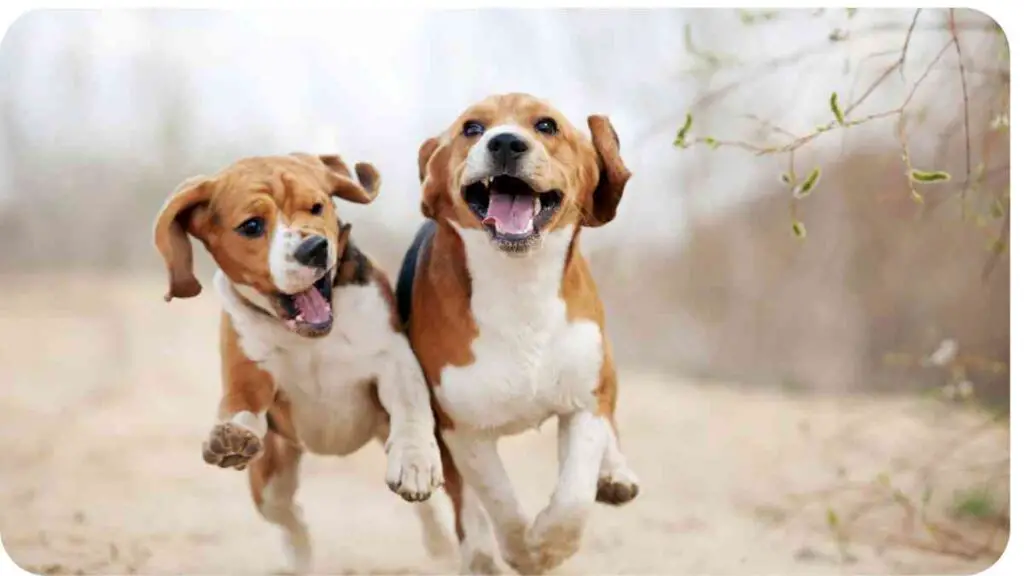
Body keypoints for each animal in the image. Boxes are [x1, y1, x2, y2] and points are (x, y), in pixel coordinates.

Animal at [153, 152, 450, 573]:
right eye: (252, 226)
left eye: (317, 207)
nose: (314, 248)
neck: (312, 337)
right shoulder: (248, 380)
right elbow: (239, 408)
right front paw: (231, 438)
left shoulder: (394, 360)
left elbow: (410, 411)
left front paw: (415, 462)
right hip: (270, 480)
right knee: (290, 520)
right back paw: (300, 557)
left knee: (431, 512)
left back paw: (442, 542)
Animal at [393, 91, 638, 569]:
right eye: (472, 128)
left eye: (546, 126)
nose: (505, 143)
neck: (519, 284)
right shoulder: (462, 428)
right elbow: (498, 498)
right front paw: (523, 551)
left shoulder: (583, 403)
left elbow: (573, 498)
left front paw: (548, 544)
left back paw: (615, 471)